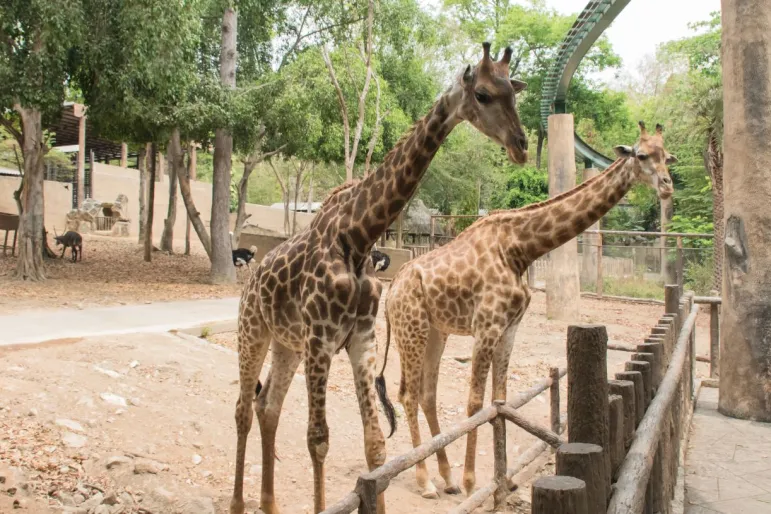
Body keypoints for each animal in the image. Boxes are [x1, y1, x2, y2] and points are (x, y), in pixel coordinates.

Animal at [229, 43, 532, 512]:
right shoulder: (321, 337)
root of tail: (250, 280)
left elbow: (375, 445)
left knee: (268, 407)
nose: (521, 146)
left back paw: (270, 504)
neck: (357, 236)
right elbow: (318, 439)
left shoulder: (360, 337)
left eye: (513, 93)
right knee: (244, 409)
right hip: (253, 332)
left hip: (287, 345)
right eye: (482, 94)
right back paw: (239, 504)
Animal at [382, 120, 680, 496]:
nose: (667, 187)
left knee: (426, 393)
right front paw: (471, 482)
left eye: (667, 156)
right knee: (407, 393)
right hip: (412, 329)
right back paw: (426, 482)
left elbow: (500, 399)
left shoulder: (510, 327)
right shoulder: (487, 326)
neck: (521, 249)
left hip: (437, 330)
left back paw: (445, 478)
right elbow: (475, 401)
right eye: (641, 155)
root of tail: (392, 288)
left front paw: (503, 481)